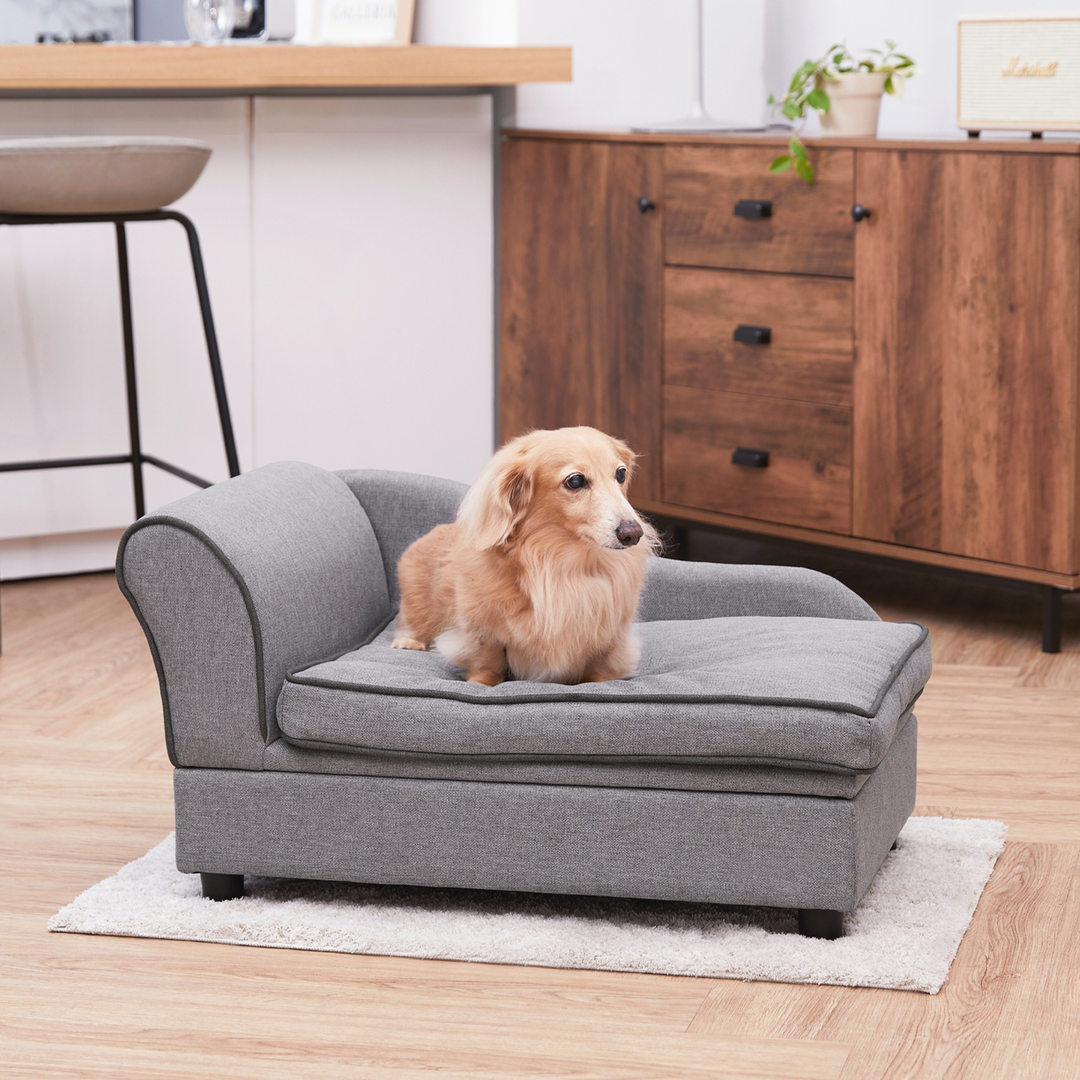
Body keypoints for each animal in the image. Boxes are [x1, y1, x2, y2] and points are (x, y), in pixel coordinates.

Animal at [388, 427, 656, 686]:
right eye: (576, 480)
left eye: (620, 474)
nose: (633, 533)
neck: (562, 564)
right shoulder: (481, 632)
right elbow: (487, 664)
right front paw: (480, 684)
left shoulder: (611, 641)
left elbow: (600, 671)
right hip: (417, 602)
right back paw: (408, 641)